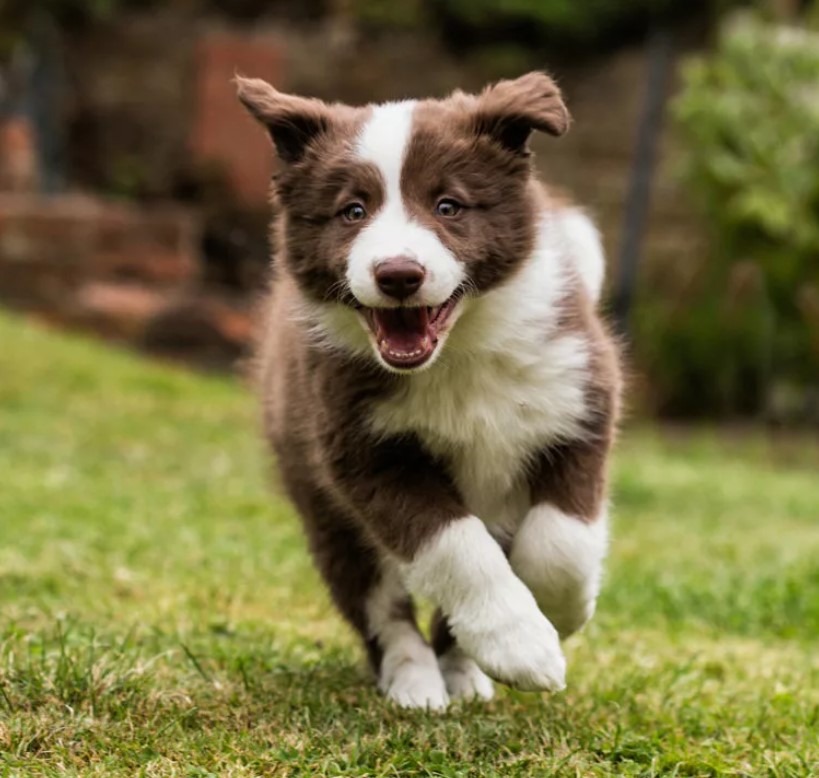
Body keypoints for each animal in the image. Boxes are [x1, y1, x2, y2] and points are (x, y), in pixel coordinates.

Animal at [237, 73, 620, 708]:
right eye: (353, 211)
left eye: (449, 206)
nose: (398, 274)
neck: (458, 352)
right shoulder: (363, 450)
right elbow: (456, 548)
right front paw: (521, 645)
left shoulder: (578, 401)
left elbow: (561, 541)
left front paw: (558, 616)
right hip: (326, 511)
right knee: (379, 607)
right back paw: (415, 680)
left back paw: (463, 672)